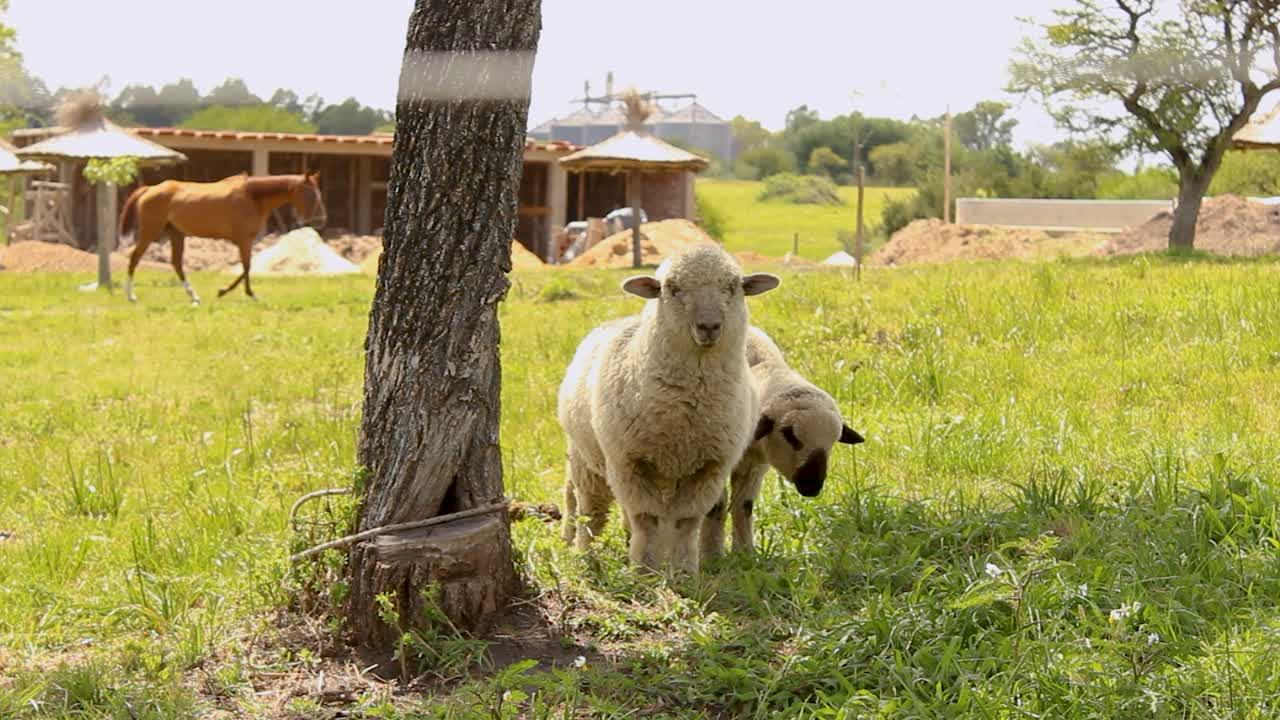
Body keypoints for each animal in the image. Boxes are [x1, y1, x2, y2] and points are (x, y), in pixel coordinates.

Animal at [557, 244, 780, 573]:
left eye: (732, 286)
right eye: (672, 288)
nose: (709, 326)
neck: (685, 410)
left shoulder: (709, 466)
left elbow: (687, 520)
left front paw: (684, 570)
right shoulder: (628, 462)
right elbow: (646, 519)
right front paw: (645, 571)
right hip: (588, 459)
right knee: (591, 510)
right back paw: (586, 559)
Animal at [700, 325, 865, 557]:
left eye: (833, 442)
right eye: (789, 435)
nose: (812, 485)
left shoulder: (754, 466)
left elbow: (744, 506)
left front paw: (745, 553)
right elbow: (715, 507)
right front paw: (711, 556)